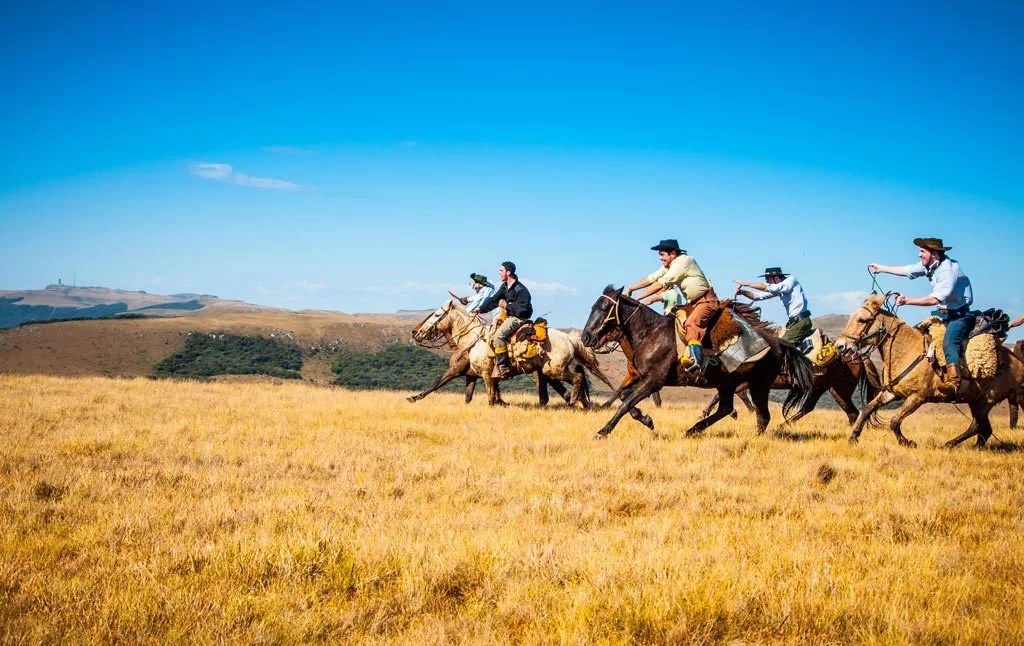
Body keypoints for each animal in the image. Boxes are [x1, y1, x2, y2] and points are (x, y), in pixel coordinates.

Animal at [581, 288, 811, 440]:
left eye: (604, 307)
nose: (586, 337)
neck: (651, 334)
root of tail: (778, 342)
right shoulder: (640, 377)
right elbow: (624, 397)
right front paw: (646, 419)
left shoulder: (654, 380)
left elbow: (626, 402)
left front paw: (602, 431)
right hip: (727, 384)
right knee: (726, 408)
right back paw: (693, 430)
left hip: (759, 384)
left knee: (763, 416)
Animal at [700, 352, 884, 427]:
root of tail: (858, 356)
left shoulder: (742, 381)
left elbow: (722, 395)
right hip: (824, 388)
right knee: (812, 408)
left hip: (839, 389)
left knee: (852, 412)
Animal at [835, 292, 1024, 446]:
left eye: (862, 320)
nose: (840, 346)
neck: (906, 350)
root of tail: (1018, 363)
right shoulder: (892, 393)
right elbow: (867, 409)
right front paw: (853, 437)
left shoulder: (917, 397)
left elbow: (894, 421)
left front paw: (908, 442)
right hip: (975, 400)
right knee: (983, 429)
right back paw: (955, 445)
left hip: (986, 401)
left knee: (980, 426)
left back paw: (951, 444)